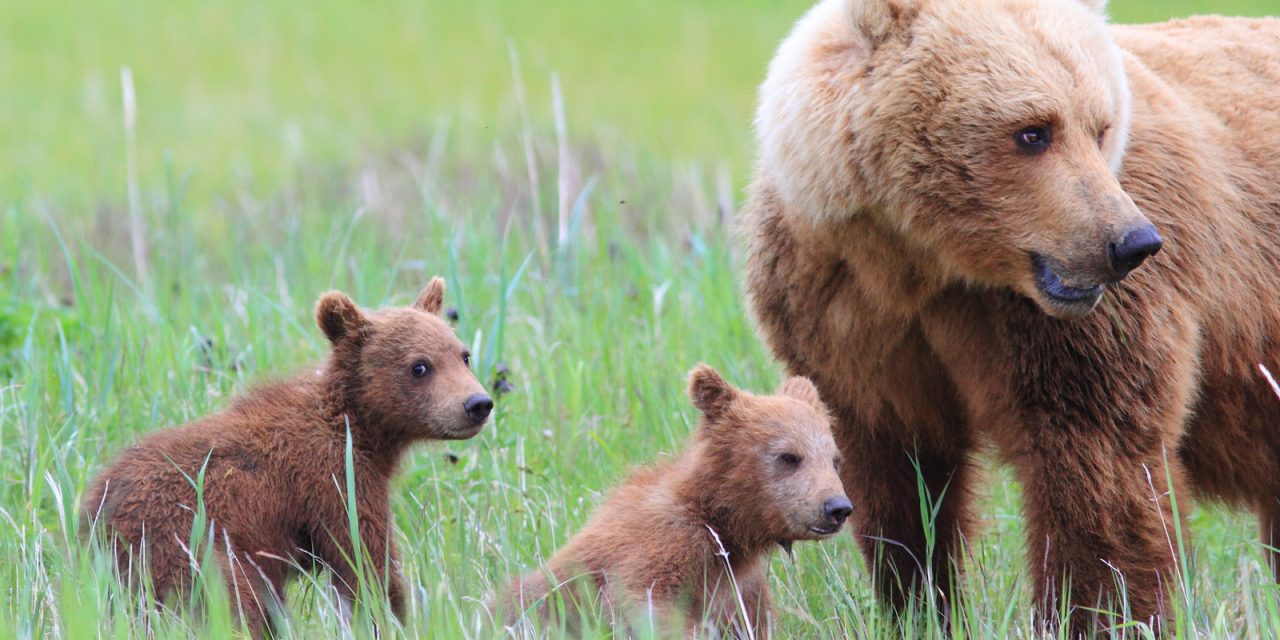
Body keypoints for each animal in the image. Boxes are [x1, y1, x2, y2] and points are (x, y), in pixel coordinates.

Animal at [80, 277, 493, 635]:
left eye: (464, 356)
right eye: (419, 366)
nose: (477, 404)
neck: (359, 428)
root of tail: (93, 519)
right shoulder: (332, 478)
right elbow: (364, 561)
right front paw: (396, 618)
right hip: (187, 548)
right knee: (233, 603)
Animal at [495, 365, 852, 637]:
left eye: (834, 460)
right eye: (789, 456)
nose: (838, 507)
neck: (724, 524)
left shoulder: (741, 590)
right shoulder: (664, 545)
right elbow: (644, 600)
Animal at [739, 0, 1280, 632]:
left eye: (1100, 126)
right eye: (1033, 131)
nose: (1132, 243)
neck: (923, 265)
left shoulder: (1066, 328)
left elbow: (1098, 473)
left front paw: (1095, 614)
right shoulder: (843, 316)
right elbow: (900, 489)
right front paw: (919, 606)